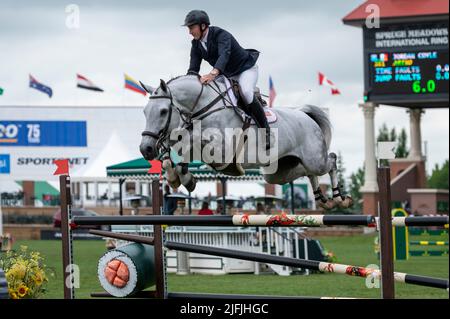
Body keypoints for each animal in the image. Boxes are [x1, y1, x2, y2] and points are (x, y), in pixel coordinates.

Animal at [139, 74, 354, 210]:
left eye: (163, 111)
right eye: (144, 112)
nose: (146, 149)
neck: (205, 107)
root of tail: (306, 116)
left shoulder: (222, 149)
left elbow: (191, 142)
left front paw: (184, 177)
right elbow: (183, 147)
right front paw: (177, 175)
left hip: (314, 159)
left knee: (331, 160)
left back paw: (339, 199)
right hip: (278, 173)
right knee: (307, 172)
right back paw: (322, 199)